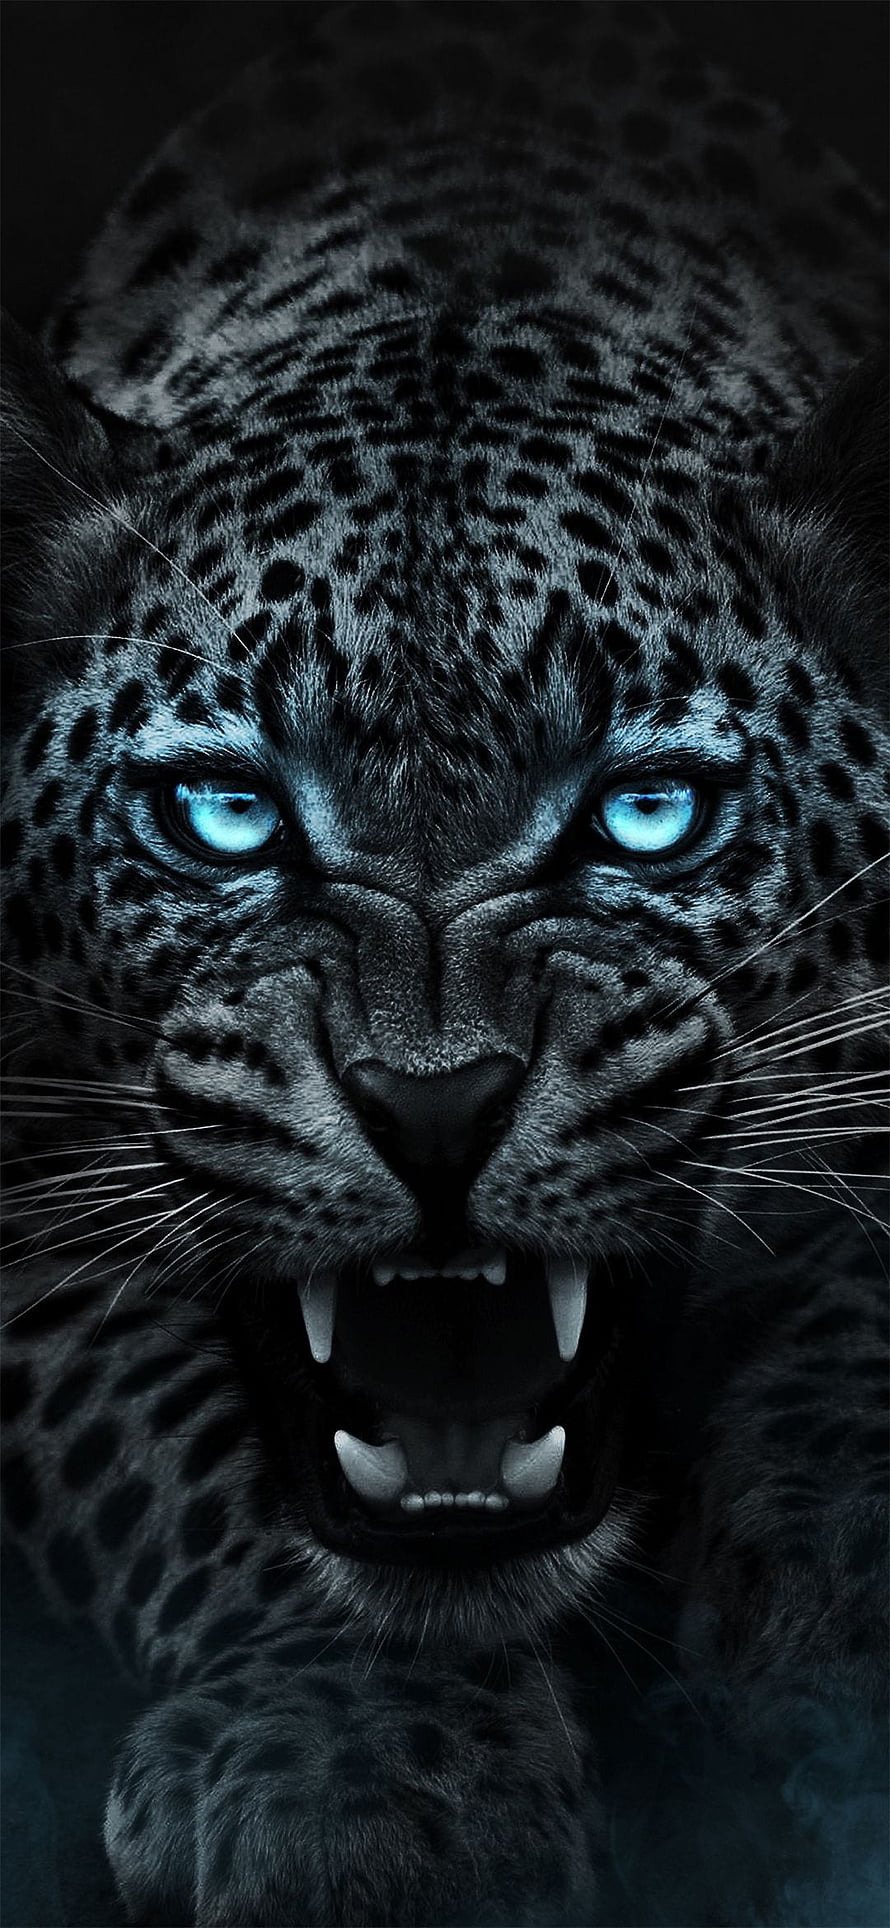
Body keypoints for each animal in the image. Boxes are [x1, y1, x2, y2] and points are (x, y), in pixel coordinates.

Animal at [2, 4, 888, 1925]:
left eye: (645, 812)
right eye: (224, 814)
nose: (432, 1106)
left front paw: (840, 1590)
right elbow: (162, 1426)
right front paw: (365, 1765)